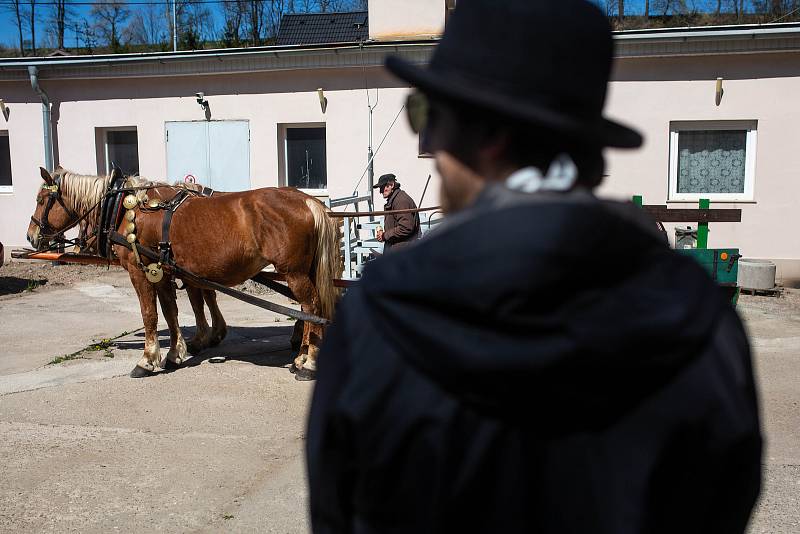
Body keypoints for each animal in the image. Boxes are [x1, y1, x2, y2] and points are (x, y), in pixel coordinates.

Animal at [26, 168, 340, 382]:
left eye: (42, 199)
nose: (31, 236)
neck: (128, 210)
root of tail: (308, 201)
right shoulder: (163, 271)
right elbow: (171, 312)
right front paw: (176, 352)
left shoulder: (139, 270)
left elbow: (150, 315)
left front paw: (147, 359)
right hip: (305, 270)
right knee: (310, 311)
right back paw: (301, 357)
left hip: (294, 272)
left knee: (311, 307)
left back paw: (308, 363)